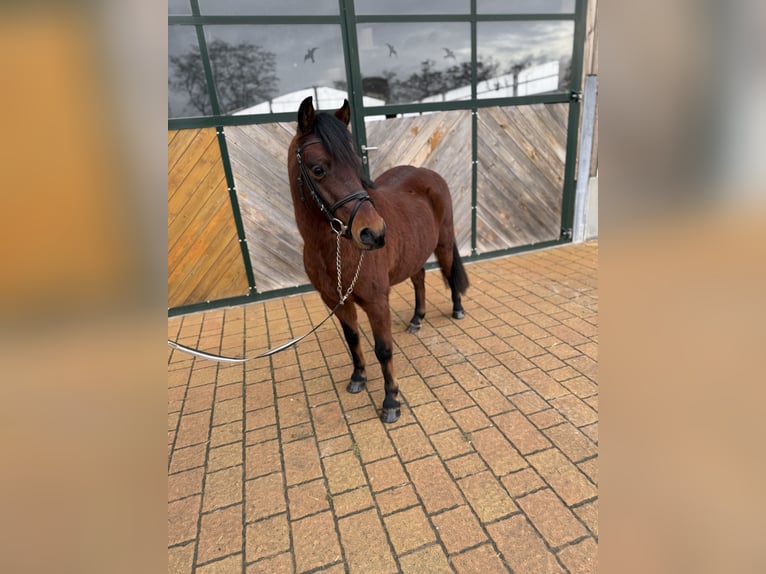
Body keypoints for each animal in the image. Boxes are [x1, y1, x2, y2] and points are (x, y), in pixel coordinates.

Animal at [286, 98, 468, 424]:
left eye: (356, 165)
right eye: (318, 169)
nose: (374, 233)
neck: (335, 250)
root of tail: (429, 174)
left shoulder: (376, 301)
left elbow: (383, 350)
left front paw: (391, 401)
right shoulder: (336, 301)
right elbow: (352, 339)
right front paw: (358, 377)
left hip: (444, 243)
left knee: (448, 272)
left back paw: (457, 310)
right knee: (419, 279)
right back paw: (416, 319)